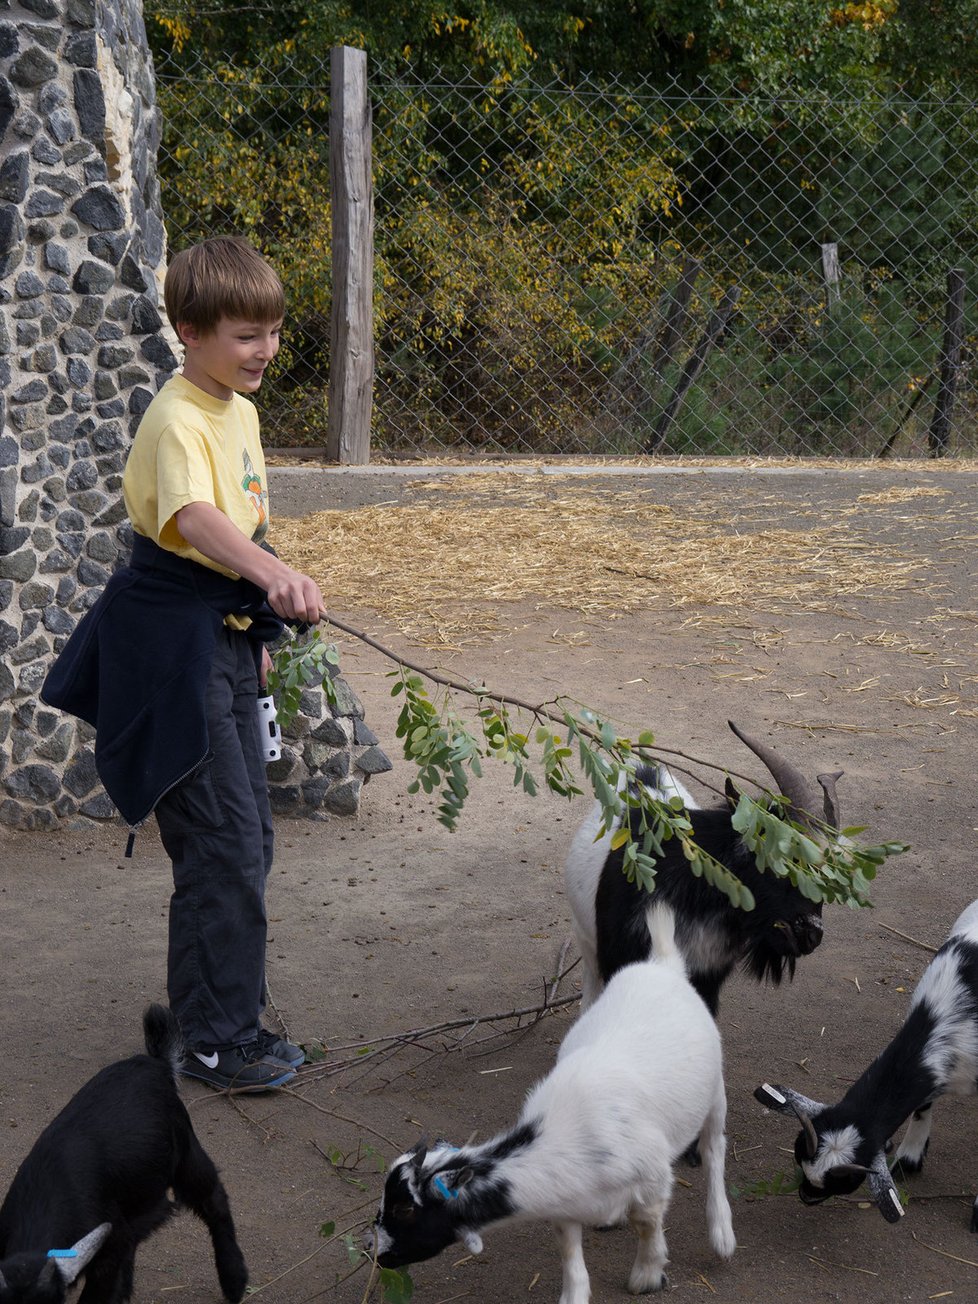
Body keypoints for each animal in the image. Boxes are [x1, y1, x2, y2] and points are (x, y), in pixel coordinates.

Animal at [367, 907, 735, 1304]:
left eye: (405, 1209)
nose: (379, 1256)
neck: (564, 1135)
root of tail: (662, 964)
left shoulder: (653, 1181)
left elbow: (647, 1226)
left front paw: (647, 1276)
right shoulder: (563, 1201)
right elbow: (569, 1252)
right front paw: (575, 1294)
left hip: (715, 1092)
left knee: (714, 1149)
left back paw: (721, 1233)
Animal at [756, 902, 978, 1225]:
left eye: (845, 1182)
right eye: (799, 1156)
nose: (806, 1197)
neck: (949, 1020)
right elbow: (923, 1106)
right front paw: (910, 1156)